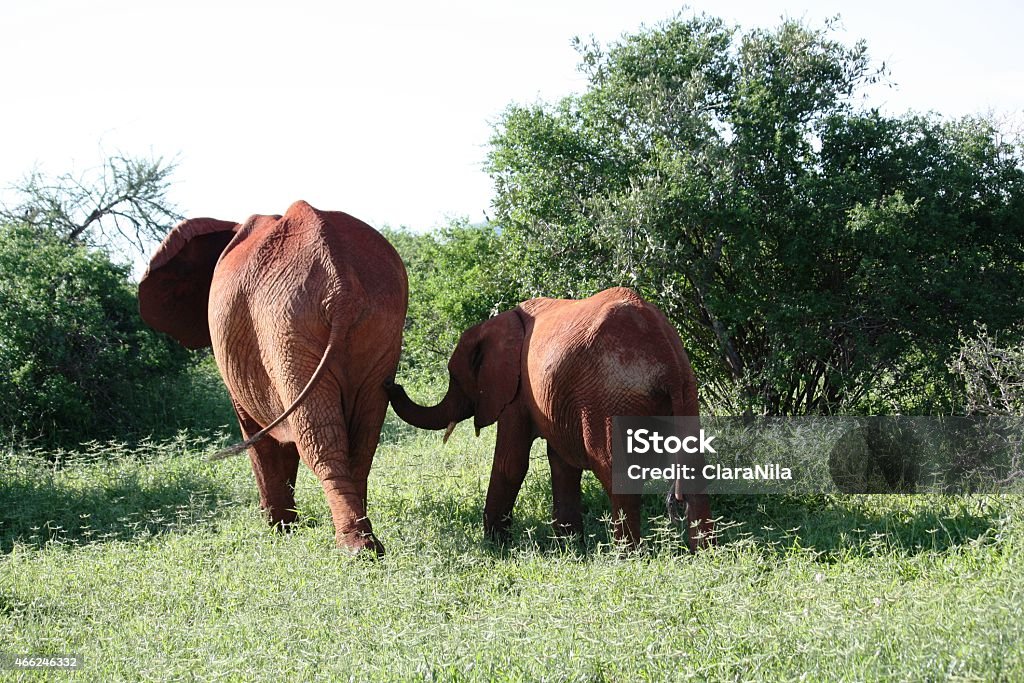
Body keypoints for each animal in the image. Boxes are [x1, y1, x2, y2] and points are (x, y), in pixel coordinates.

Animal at [140, 198, 403, 557]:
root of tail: (342, 288)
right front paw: (286, 527)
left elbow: (261, 436)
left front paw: (280, 529)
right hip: (377, 323)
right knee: (363, 437)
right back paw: (366, 541)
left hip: (284, 326)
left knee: (317, 439)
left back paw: (354, 548)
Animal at [387, 286, 716, 548]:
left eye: (454, 377)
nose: (393, 384)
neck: (498, 322)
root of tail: (665, 355)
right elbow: (561, 462)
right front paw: (569, 547)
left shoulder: (519, 392)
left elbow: (510, 463)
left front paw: (496, 546)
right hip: (687, 389)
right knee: (693, 468)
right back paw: (704, 554)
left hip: (610, 397)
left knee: (613, 469)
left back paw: (628, 557)